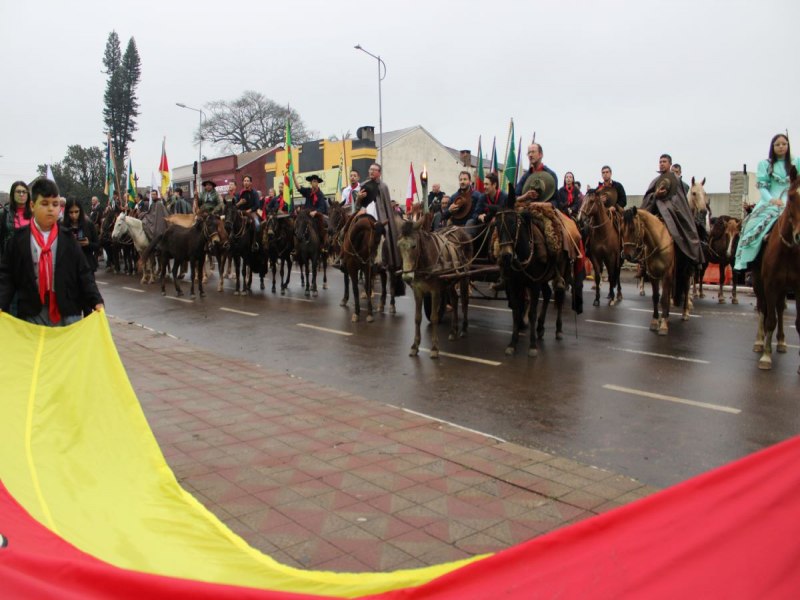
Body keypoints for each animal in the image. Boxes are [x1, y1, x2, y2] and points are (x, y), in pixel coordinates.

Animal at [398, 221, 472, 358]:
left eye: (414, 246)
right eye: (399, 245)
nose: (407, 277)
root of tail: (460, 229)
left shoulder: (435, 291)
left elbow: (434, 318)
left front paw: (434, 347)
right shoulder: (417, 290)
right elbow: (417, 318)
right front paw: (415, 346)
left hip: (465, 276)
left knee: (465, 301)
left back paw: (464, 329)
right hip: (449, 280)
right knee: (454, 299)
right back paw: (453, 331)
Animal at [620, 207, 680, 336]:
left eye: (633, 229)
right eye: (621, 230)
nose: (626, 255)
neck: (658, 245)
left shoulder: (666, 275)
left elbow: (664, 298)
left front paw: (663, 325)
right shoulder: (653, 275)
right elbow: (656, 297)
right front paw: (655, 321)